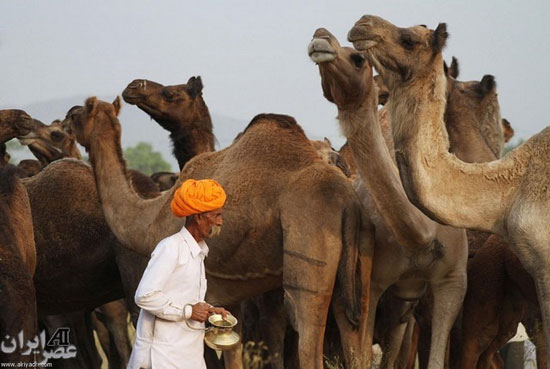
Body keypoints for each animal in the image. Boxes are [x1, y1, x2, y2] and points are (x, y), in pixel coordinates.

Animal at [68, 95, 370, 368]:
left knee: (306, 323)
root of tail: (346, 199)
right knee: (352, 329)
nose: (66, 121)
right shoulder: (228, 293)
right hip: (356, 262)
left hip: (308, 242)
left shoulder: (210, 289)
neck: (153, 218)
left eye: (79, 113)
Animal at [310, 26, 470, 368]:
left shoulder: (453, 280)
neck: (421, 235)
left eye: (358, 58)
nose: (320, 36)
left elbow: (435, 358)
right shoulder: (375, 282)